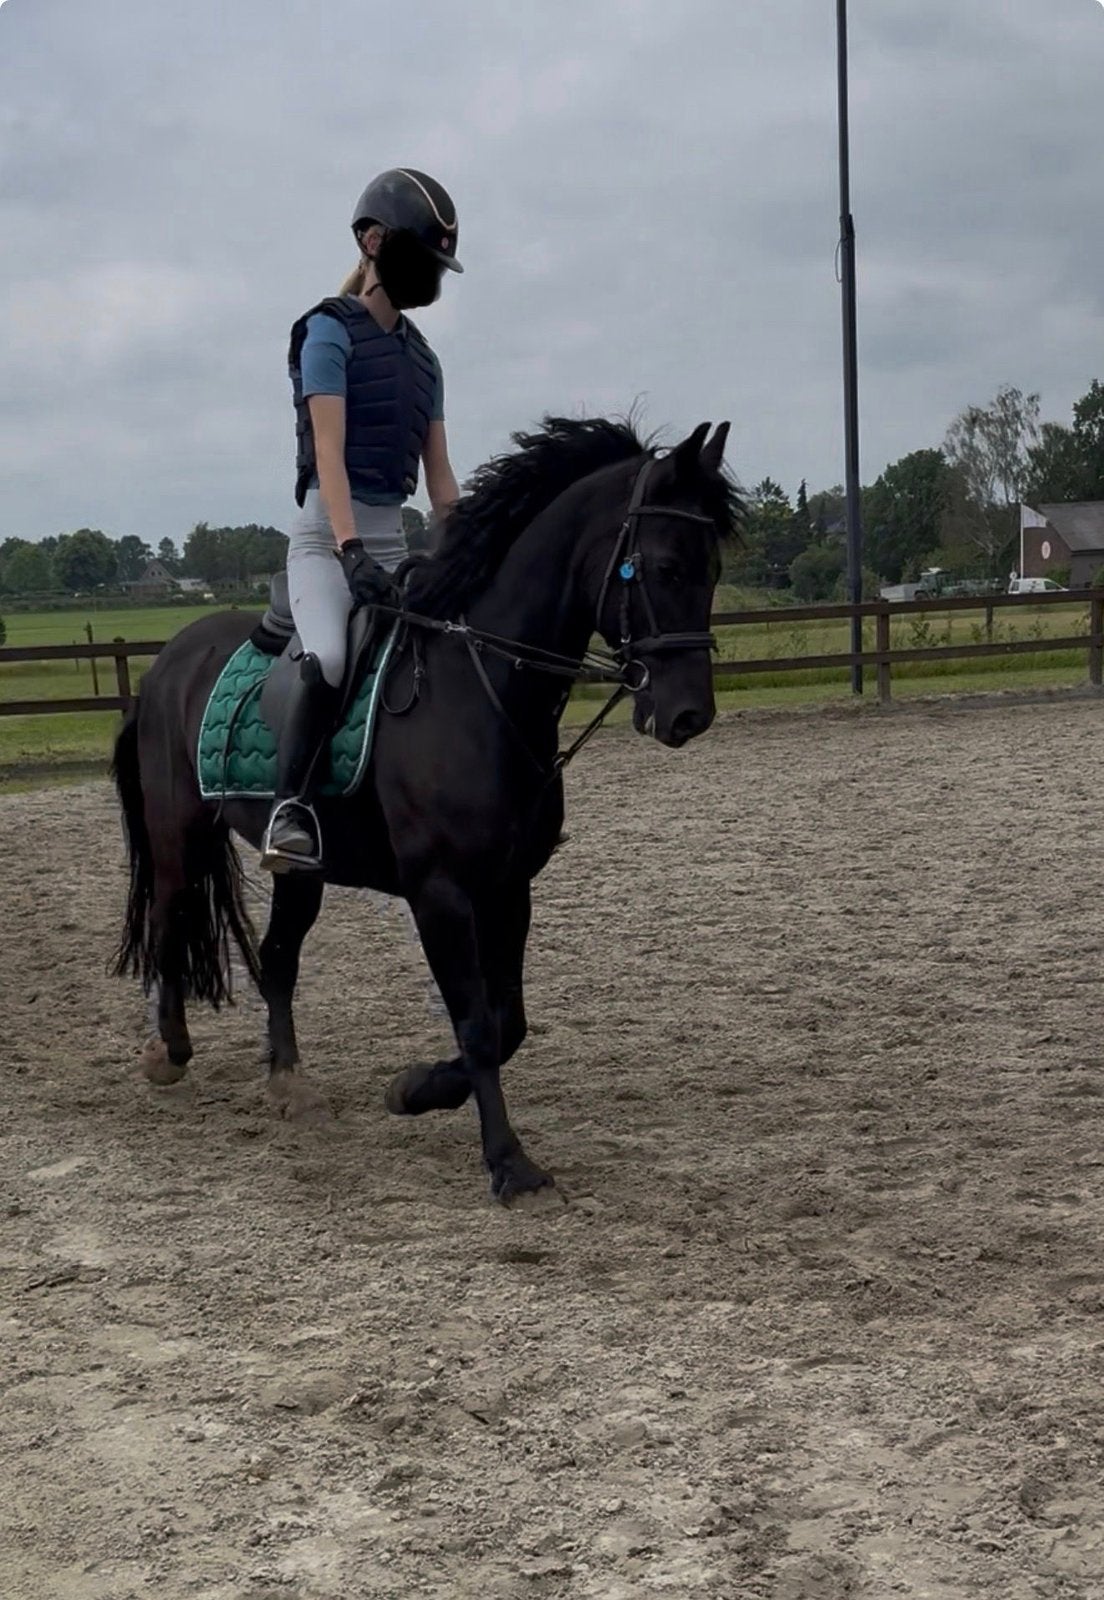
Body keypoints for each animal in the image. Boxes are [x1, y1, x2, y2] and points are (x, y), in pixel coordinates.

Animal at [112, 414, 740, 1203]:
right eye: (660, 567)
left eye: (712, 569)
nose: (688, 715)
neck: (482, 688)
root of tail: (168, 660)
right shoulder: (439, 892)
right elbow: (476, 1023)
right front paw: (508, 1162)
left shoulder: (508, 885)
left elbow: (508, 1021)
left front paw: (415, 1090)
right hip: (179, 834)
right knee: (169, 919)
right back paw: (168, 1051)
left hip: (302, 870)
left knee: (278, 958)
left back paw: (288, 1083)